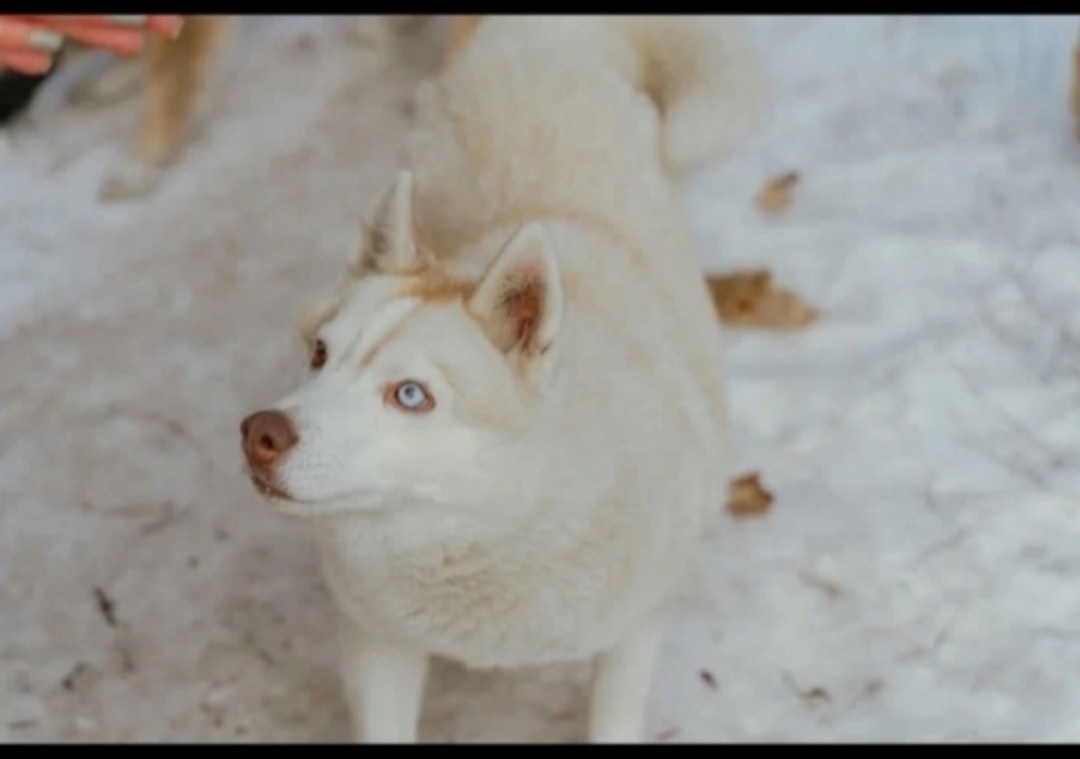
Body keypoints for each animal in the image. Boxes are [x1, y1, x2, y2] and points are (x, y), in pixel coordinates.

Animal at [240, 15, 766, 743]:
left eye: (411, 395)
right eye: (320, 354)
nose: (259, 433)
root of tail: (546, 28)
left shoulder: (636, 630)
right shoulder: (378, 643)